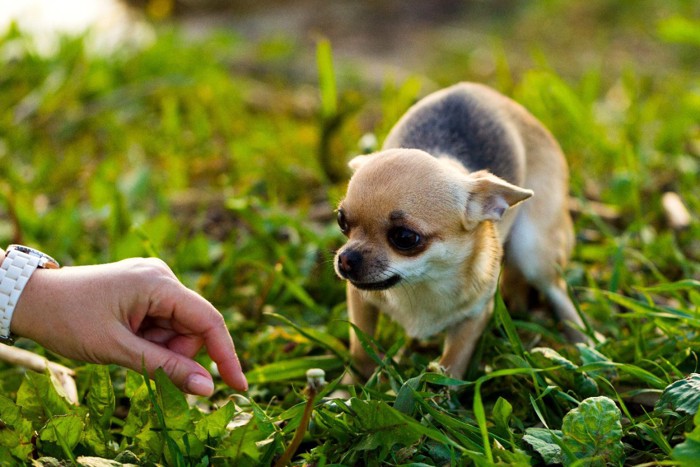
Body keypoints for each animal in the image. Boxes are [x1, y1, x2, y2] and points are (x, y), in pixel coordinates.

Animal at [334, 81, 584, 380]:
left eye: (405, 238)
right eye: (342, 221)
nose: (345, 259)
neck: (424, 283)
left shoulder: (475, 315)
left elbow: (453, 362)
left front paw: (440, 388)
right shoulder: (360, 299)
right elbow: (360, 348)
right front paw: (354, 381)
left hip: (533, 249)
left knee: (557, 289)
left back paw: (583, 341)